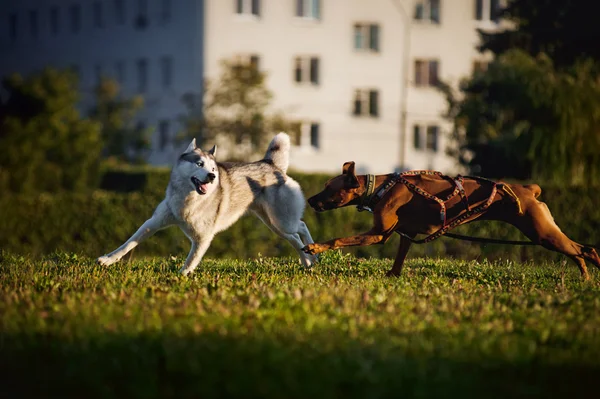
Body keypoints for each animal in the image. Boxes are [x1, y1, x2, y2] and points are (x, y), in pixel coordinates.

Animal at [96, 134, 316, 276]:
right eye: (199, 164)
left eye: (213, 168)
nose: (211, 176)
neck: (188, 199)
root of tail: (271, 164)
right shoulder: (153, 223)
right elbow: (128, 243)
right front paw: (107, 260)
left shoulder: (203, 237)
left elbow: (191, 260)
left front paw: (180, 276)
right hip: (274, 224)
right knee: (295, 238)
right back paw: (308, 260)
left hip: (282, 221)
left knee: (301, 227)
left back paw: (312, 254)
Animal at [304, 161, 600, 280]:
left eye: (329, 188)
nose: (309, 200)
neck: (380, 187)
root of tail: (528, 188)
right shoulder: (405, 235)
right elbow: (399, 260)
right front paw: (392, 276)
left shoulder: (379, 234)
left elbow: (338, 239)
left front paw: (315, 247)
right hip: (545, 232)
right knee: (578, 251)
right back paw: (585, 274)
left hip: (541, 232)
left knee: (587, 249)